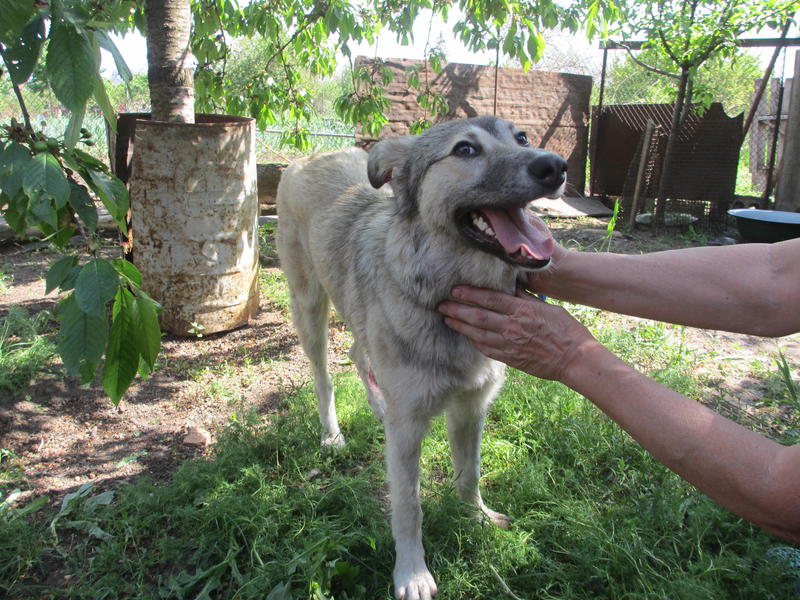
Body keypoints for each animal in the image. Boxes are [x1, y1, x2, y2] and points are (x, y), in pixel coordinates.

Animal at [278, 117, 564, 600]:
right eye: (465, 149)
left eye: (522, 138)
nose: (556, 166)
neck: (444, 291)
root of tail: (311, 156)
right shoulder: (408, 432)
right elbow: (409, 507)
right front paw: (411, 573)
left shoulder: (471, 408)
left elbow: (470, 474)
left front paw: (477, 518)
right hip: (310, 308)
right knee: (323, 376)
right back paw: (332, 434)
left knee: (358, 352)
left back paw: (377, 405)